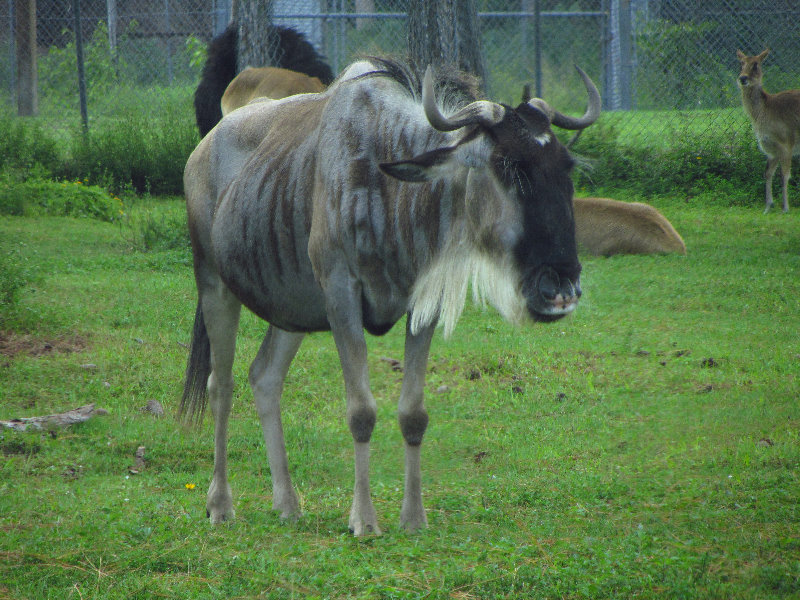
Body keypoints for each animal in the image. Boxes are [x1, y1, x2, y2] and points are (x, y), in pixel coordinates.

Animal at [736, 49, 800, 213]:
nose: (743, 78)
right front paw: (767, 207)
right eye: (741, 63)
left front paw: (785, 208)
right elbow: (767, 173)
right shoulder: (771, 150)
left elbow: (785, 175)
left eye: (756, 64)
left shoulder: (787, 144)